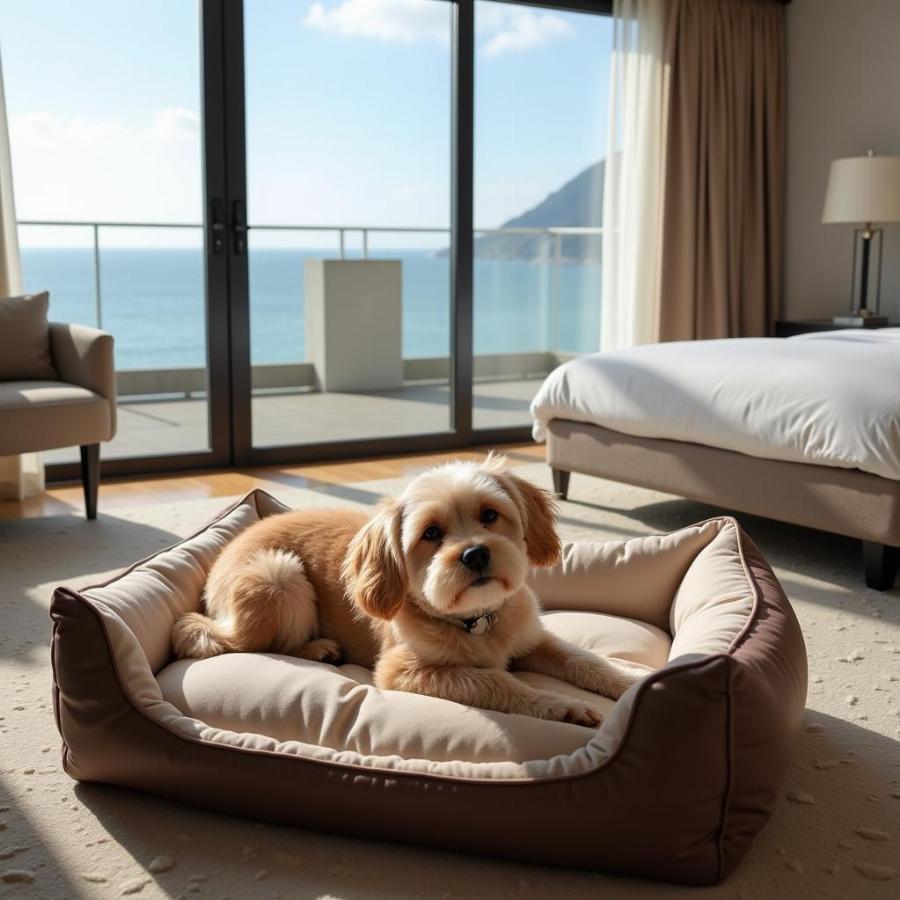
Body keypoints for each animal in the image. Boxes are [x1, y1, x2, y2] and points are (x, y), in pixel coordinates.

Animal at [172, 454, 644, 728]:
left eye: (490, 514)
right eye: (431, 533)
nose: (474, 554)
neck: (476, 620)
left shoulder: (533, 638)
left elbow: (586, 660)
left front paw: (633, 679)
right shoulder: (403, 670)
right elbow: (497, 682)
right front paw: (560, 705)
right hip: (278, 575)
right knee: (246, 643)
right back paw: (317, 649)